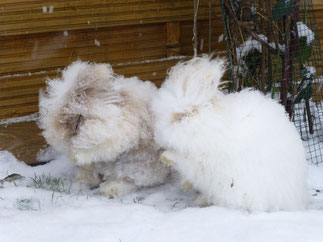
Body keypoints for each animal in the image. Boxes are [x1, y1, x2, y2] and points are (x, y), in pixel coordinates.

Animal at [39, 61, 171, 197]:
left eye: (79, 119)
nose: (66, 137)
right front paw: (82, 179)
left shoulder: (142, 170)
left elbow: (129, 180)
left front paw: (110, 188)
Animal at [153, 56, 310, 212]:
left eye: (182, 117)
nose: (160, 135)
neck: (209, 125)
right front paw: (184, 182)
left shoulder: (199, 160)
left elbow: (182, 160)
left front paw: (165, 157)